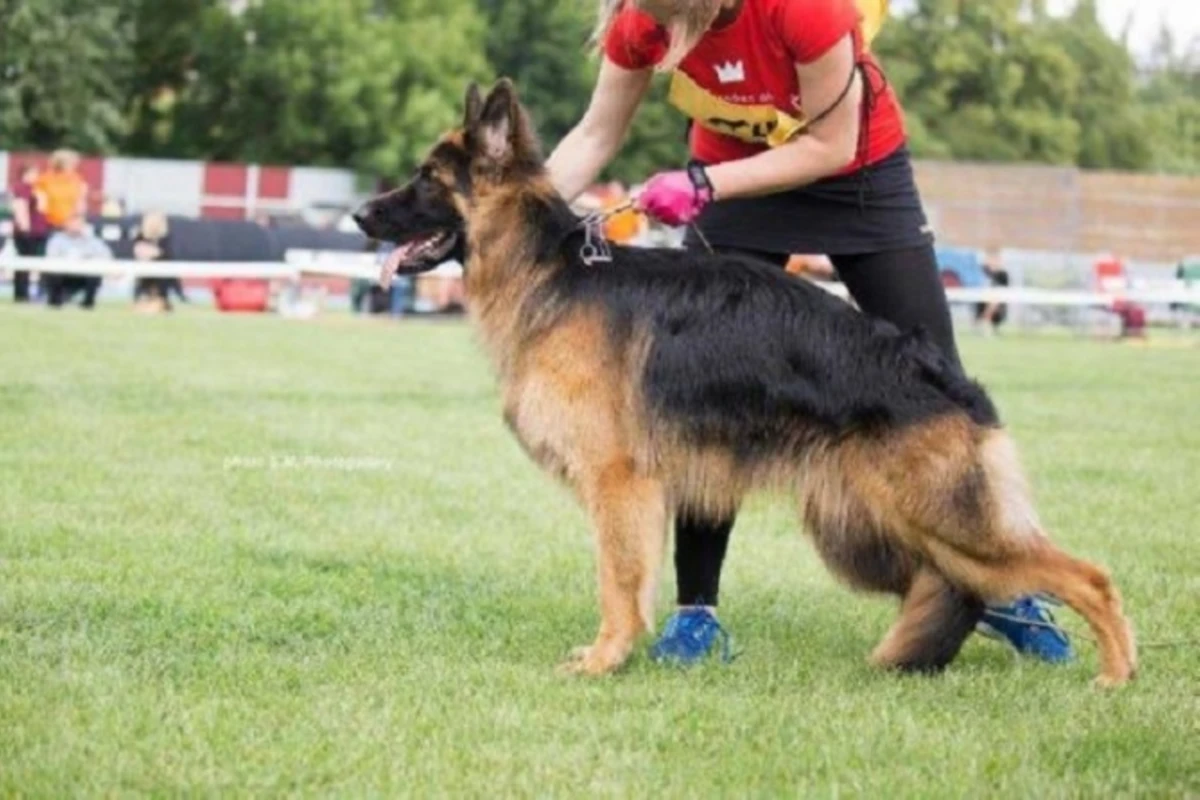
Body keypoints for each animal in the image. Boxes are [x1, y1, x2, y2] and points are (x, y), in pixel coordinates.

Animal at [352, 77, 1132, 686]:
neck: (551, 272)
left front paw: (606, 660)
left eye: (427, 178)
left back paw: (1114, 673)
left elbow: (617, 581)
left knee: (1086, 575)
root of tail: (951, 384)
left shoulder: (618, 484)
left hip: (936, 520)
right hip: (877, 528)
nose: (358, 214)